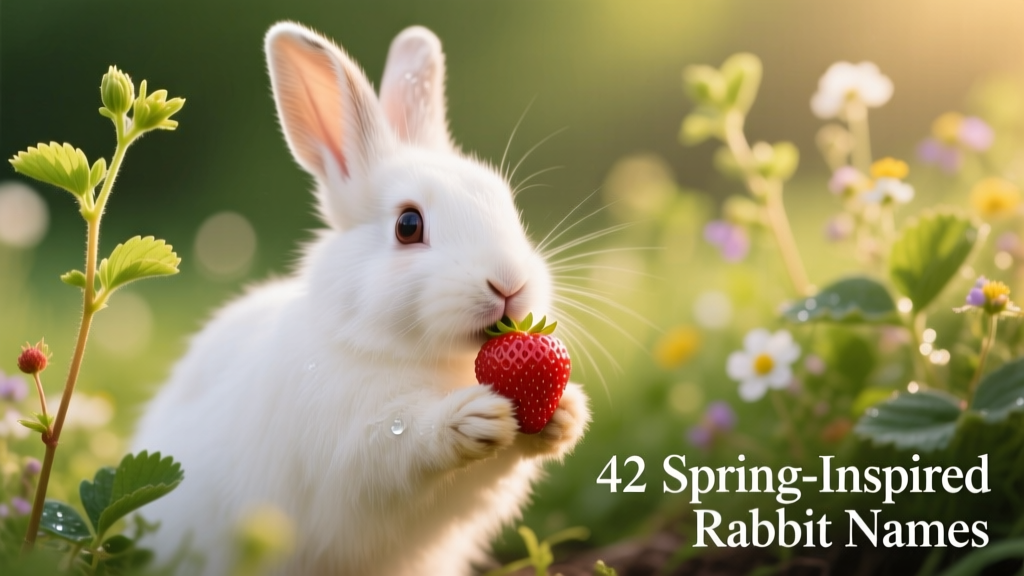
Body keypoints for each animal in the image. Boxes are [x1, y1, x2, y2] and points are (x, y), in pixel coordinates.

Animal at [131, 20, 591, 576]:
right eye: (408, 225)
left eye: (507, 205)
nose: (509, 283)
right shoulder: (351, 448)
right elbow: (401, 443)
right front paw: (472, 417)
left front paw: (566, 415)